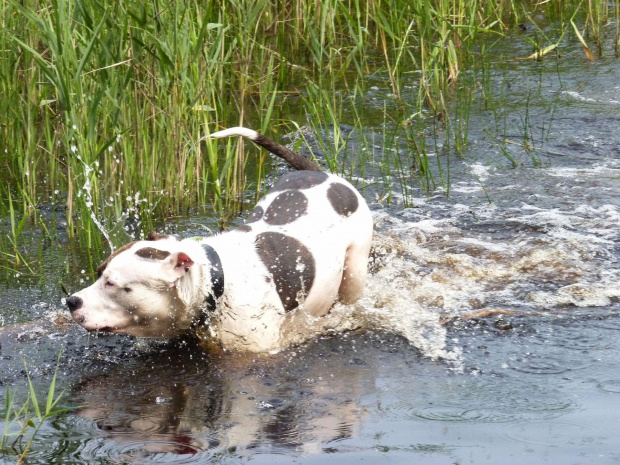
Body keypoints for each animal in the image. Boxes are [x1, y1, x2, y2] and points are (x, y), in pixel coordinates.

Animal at [66, 127, 372, 352]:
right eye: (98, 272)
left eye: (112, 283)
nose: (71, 301)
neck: (214, 287)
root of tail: (326, 175)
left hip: (355, 271)